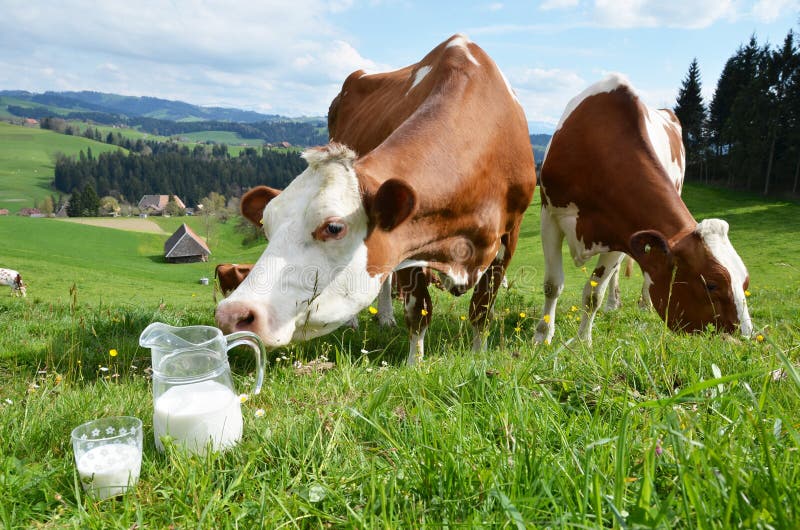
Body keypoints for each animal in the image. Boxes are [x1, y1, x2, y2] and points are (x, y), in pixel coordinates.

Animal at [215, 34, 537, 364]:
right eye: (267, 227)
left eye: (334, 228)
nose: (232, 314)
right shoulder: (408, 241)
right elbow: (418, 310)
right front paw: (414, 364)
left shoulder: (509, 233)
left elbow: (481, 310)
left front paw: (477, 357)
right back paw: (360, 321)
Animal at [534, 74, 752, 346]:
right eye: (711, 285)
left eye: (745, 282)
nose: (745, 338)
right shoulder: (550, 215)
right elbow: (553, 285)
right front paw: (543, 336)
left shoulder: (622, 234)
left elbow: (594, 294)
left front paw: (584, 341)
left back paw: (641, 304)